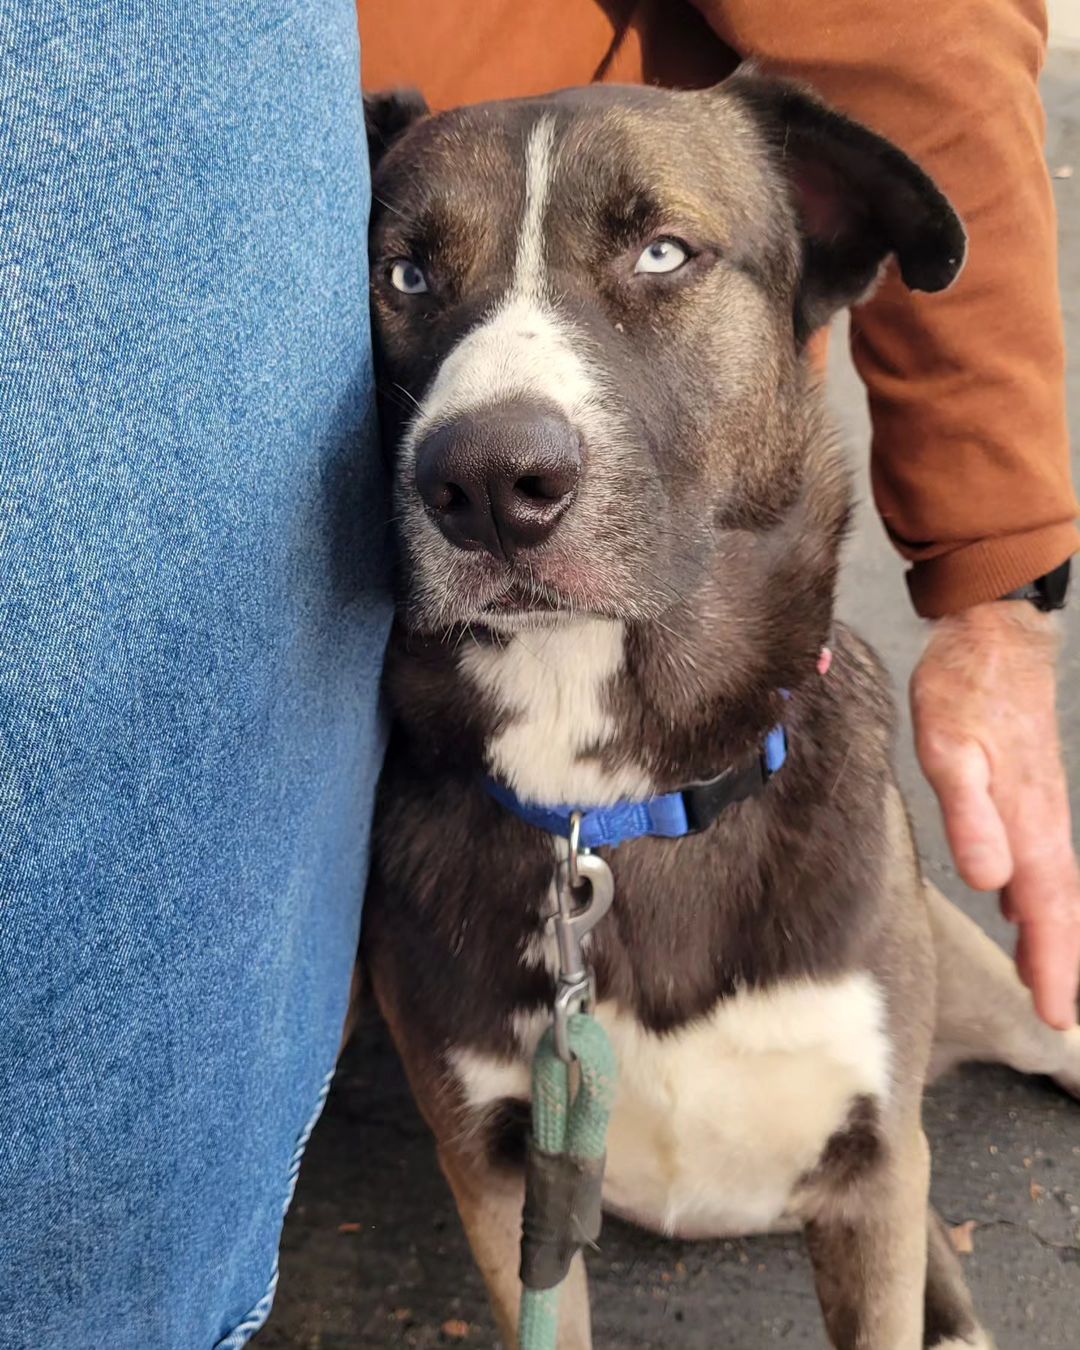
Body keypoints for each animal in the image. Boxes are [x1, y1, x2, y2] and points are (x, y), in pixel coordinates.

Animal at [356, 73, 1080, 1350]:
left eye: (662, 252)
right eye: (403, 275)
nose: (483, 482)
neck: (619, 802)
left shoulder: (873, 1181)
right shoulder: (501, 1185)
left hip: (1000, 1010)